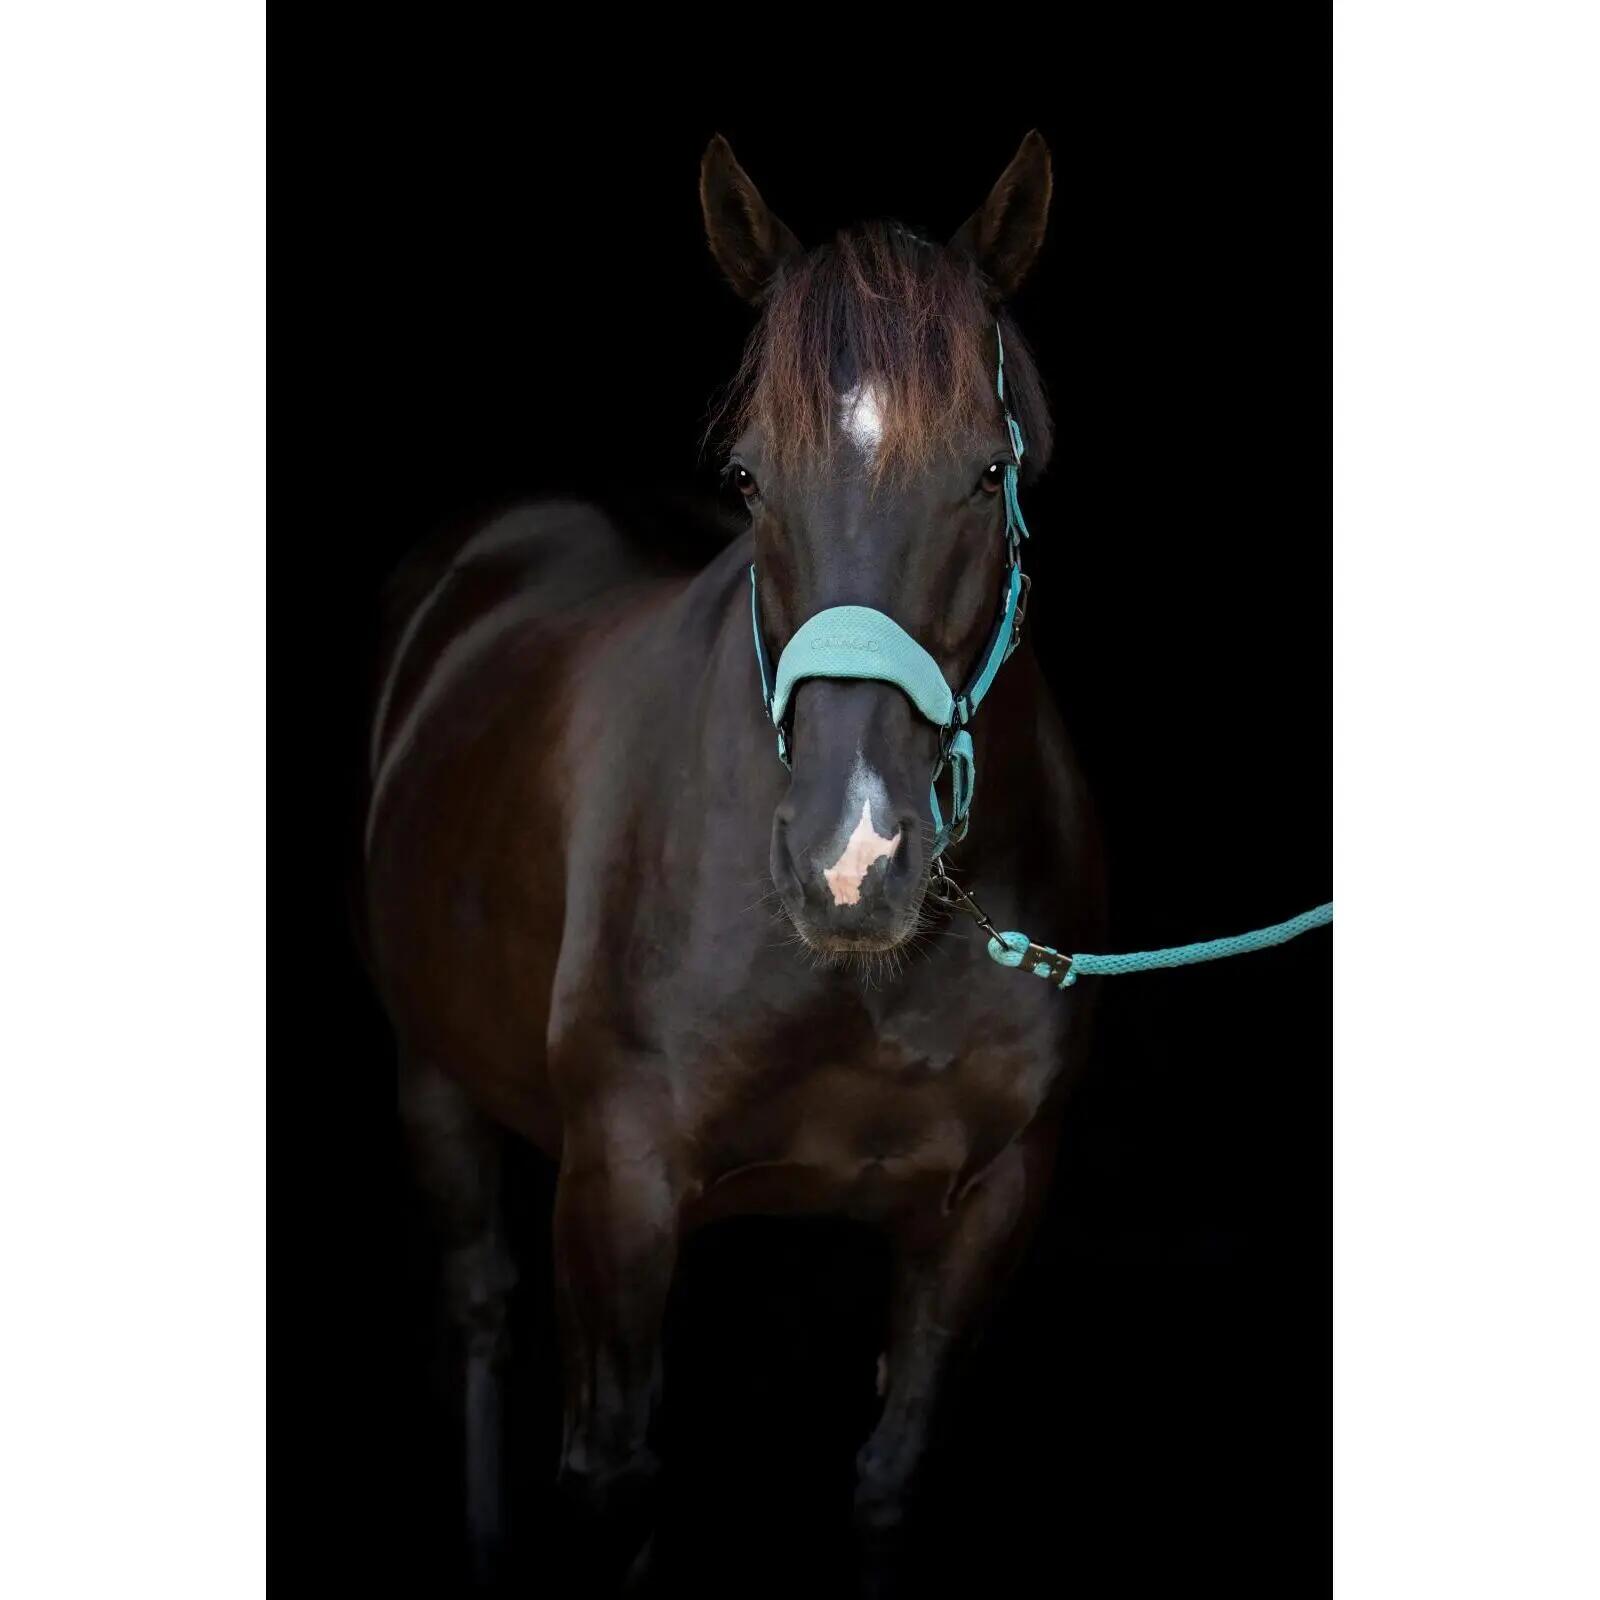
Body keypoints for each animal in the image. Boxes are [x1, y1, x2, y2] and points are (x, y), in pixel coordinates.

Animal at [361, 129, 1108, 1592]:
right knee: (477, 1310)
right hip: (435, 1076)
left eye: (989, 473)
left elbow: (888, 1475)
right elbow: (614, 1483)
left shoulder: (987, 1204)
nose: (849, 862)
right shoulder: (618, 1186)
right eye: (753, 478)